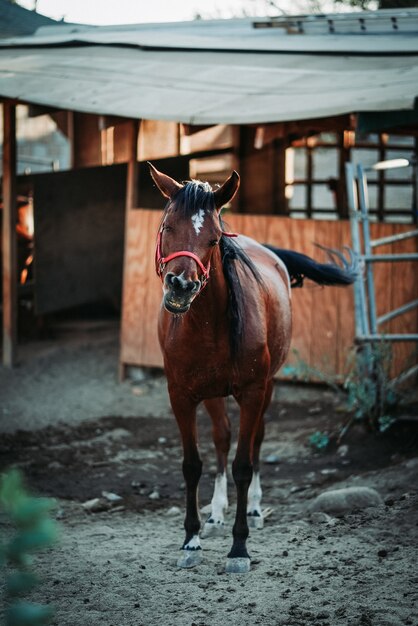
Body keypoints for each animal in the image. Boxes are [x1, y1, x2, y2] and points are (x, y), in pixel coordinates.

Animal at [149, 163, 354, 572]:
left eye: (214, 239)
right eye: (167, 227)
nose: (181, 286)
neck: (206, 327)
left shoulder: (253, 392)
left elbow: (244, 464)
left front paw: (239, 548)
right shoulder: (181, 395)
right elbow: (192, 464)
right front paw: (191, 540)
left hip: (267, 386)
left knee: (257, 439)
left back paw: (256, 511)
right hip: (212, 394)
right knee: (222, 437)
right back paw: (215, 515)